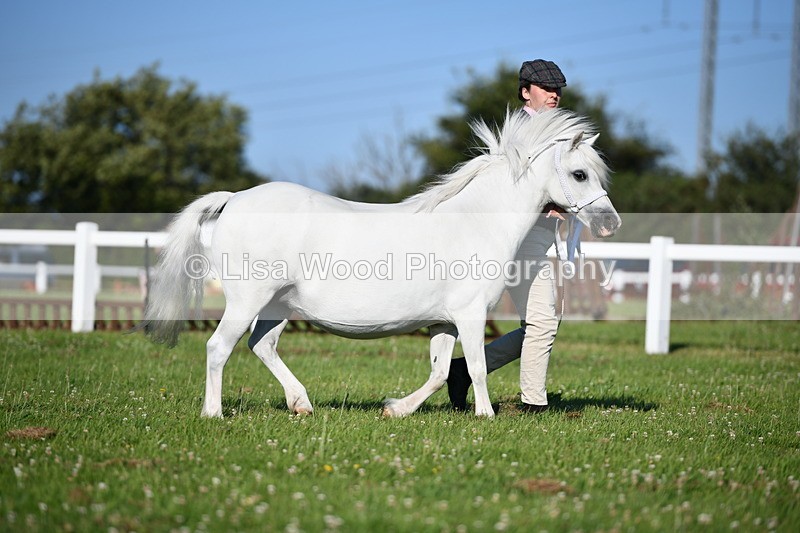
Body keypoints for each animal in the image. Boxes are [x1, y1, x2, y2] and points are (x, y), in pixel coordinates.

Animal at [141, 108, 621, 418]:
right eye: (579, 174)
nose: (610, 222)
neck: (472, 222)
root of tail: (234, 199)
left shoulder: (444, 321)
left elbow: (440, 372)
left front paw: (397, 410)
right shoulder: (469, 316)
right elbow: (477, 368)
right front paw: (485, 416)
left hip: (277, 306)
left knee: (263, 346)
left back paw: (302, 404)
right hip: (247, 301)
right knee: (218, 348)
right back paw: (214, 414)